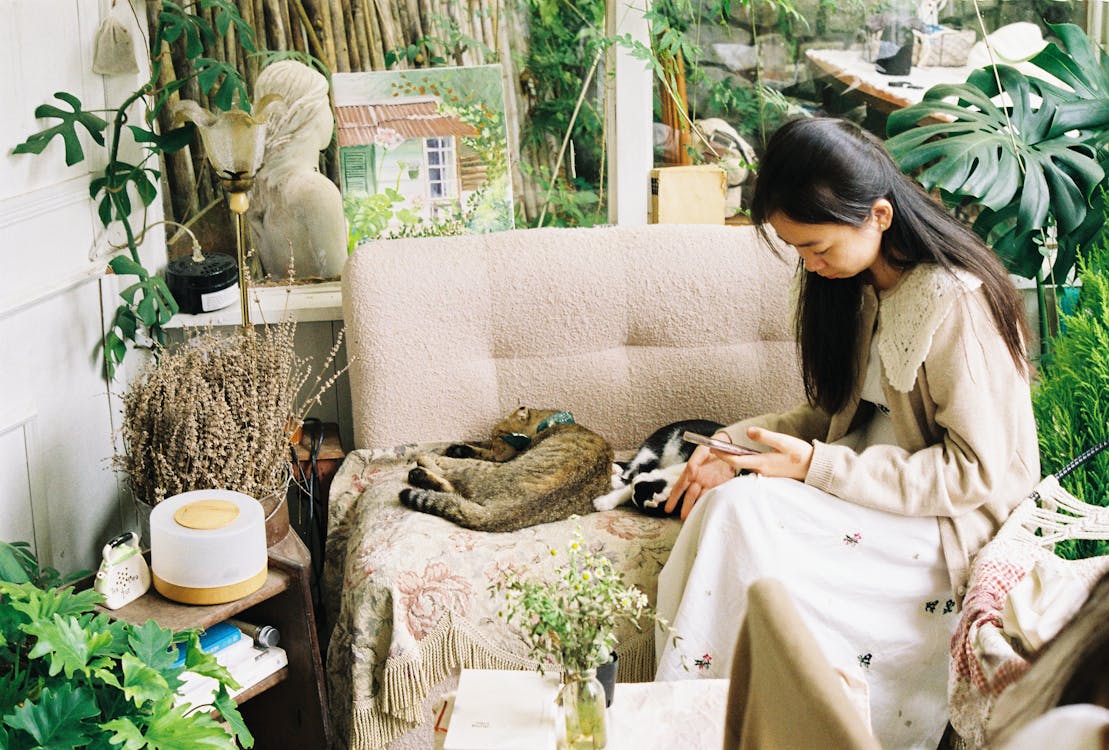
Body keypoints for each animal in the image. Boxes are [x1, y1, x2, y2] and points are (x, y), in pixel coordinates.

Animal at [397, 403, 612, 532]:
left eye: (499, 435)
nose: (493, 444)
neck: (553, 422)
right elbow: (477, 449)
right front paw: (460, 448)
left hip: (483, 470)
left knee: (450, 477)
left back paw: (423, 463)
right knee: (453, 491)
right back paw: (421, 473)